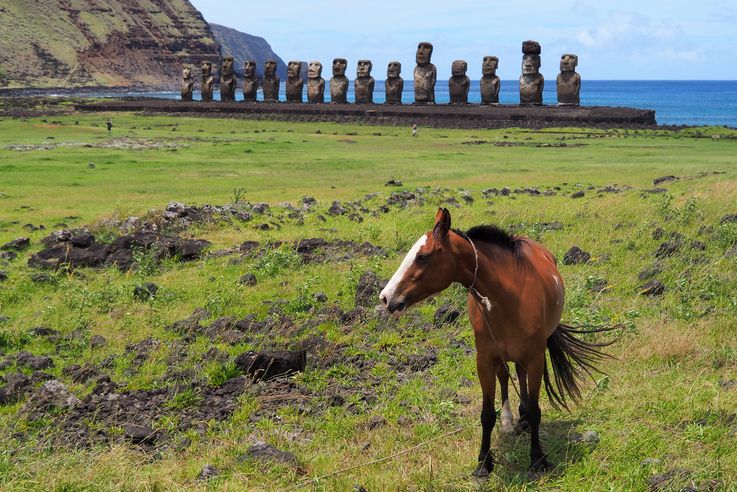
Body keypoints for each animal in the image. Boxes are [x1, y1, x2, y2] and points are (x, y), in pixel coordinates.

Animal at [380, 208, 608, 476]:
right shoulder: (485, 361)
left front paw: (537, 458)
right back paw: (510, 419)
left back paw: (522, 419)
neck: (510, 297)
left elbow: (535, 410)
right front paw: (483, 463)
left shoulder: (535, 358)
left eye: (423, 257)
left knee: (519, 375)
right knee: (506, 376)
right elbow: (487, 414)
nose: (386, 297)